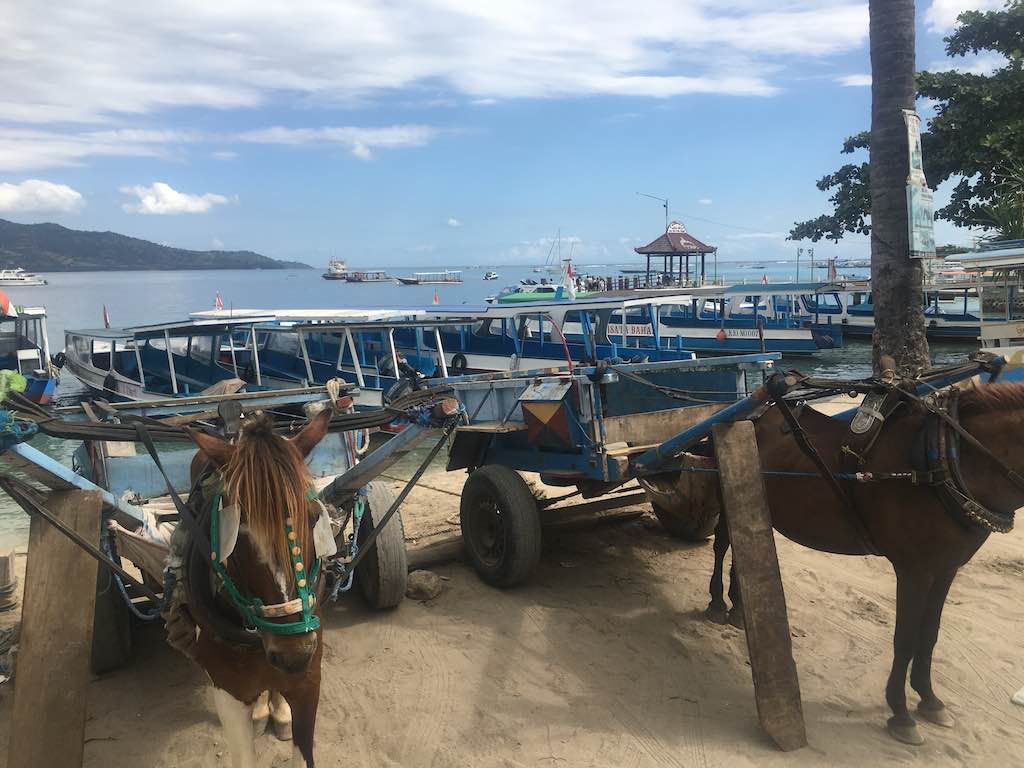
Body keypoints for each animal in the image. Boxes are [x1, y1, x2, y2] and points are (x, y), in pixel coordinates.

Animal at [700, 385, 1019, 745]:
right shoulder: (915, 571)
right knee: (723, 542)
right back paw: (717, 602)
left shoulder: (946, 568)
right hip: (724, 484)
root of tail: (747, 412)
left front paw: (929, 699)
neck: (944, 459)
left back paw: (740, 606)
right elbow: (904, 639)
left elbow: (929, 634)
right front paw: (901, 713)